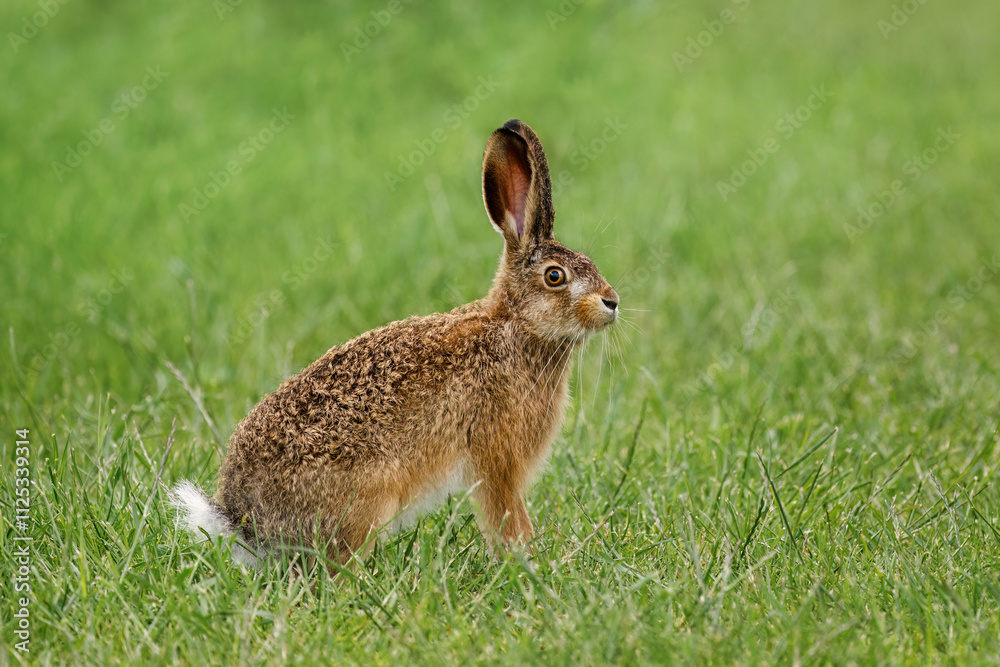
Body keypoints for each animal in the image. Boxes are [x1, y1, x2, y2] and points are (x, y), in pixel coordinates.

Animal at [171, 119, 620, 568]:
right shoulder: (497, 461)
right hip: (371, 496)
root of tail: (245, 524)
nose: (612, 302)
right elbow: (506, 515)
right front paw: (528, 561)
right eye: (555, 276)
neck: (516, 326)